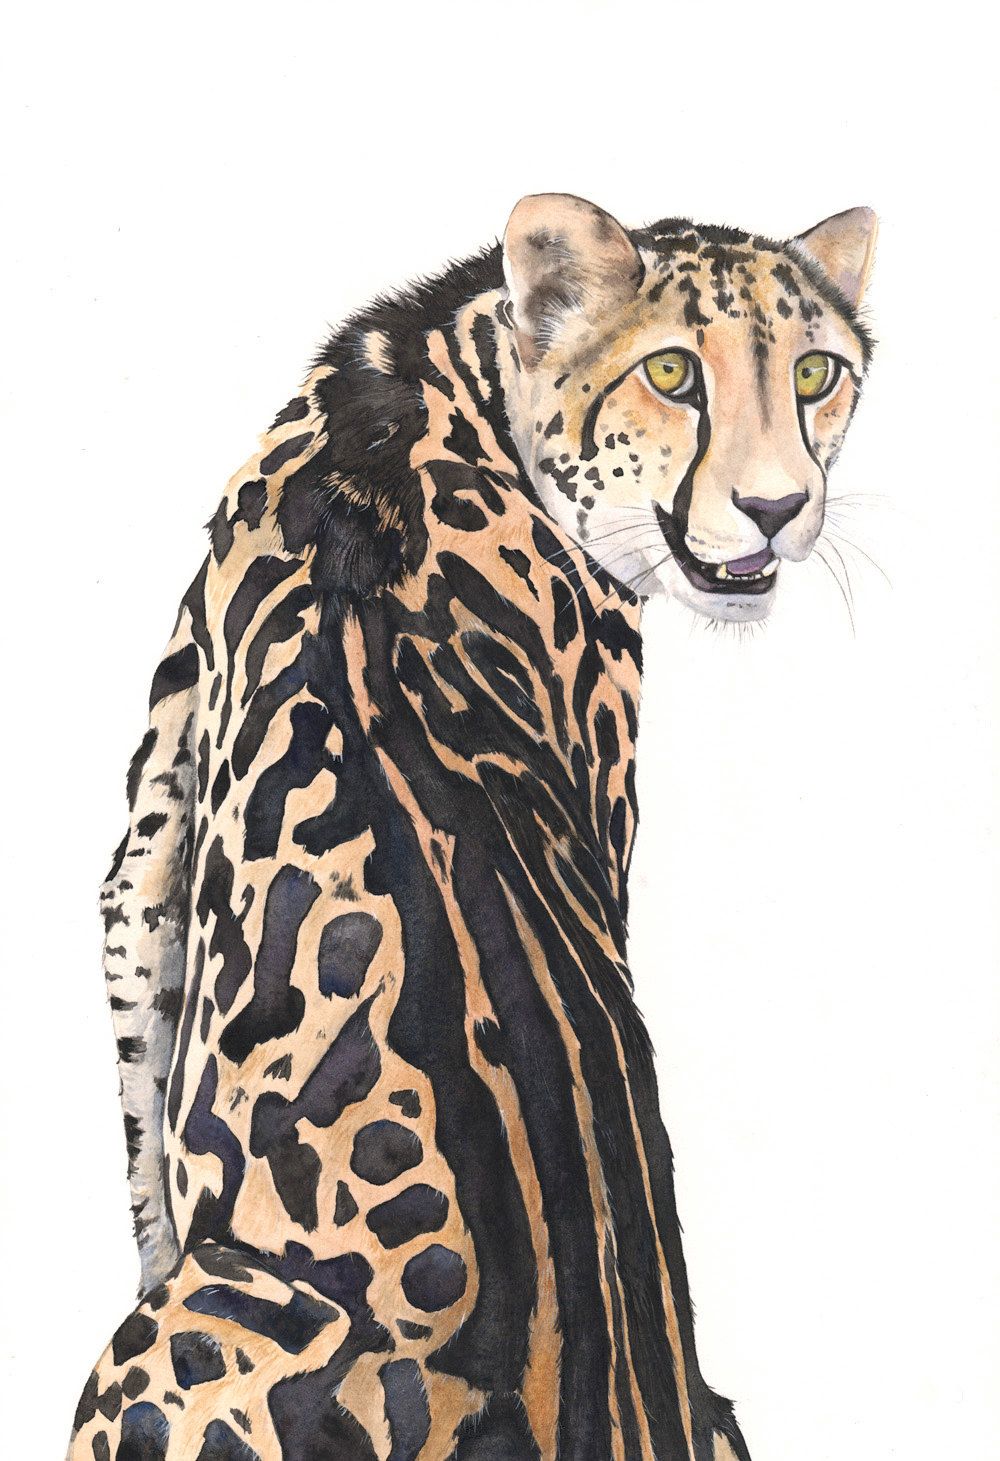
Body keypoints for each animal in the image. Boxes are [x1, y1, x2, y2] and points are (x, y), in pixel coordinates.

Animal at [68, 193, 876, 1461]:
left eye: (814, 374)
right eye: (671, 373)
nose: (776, 509)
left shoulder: (150, 835)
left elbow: (143, 1101)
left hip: (162, 1353)